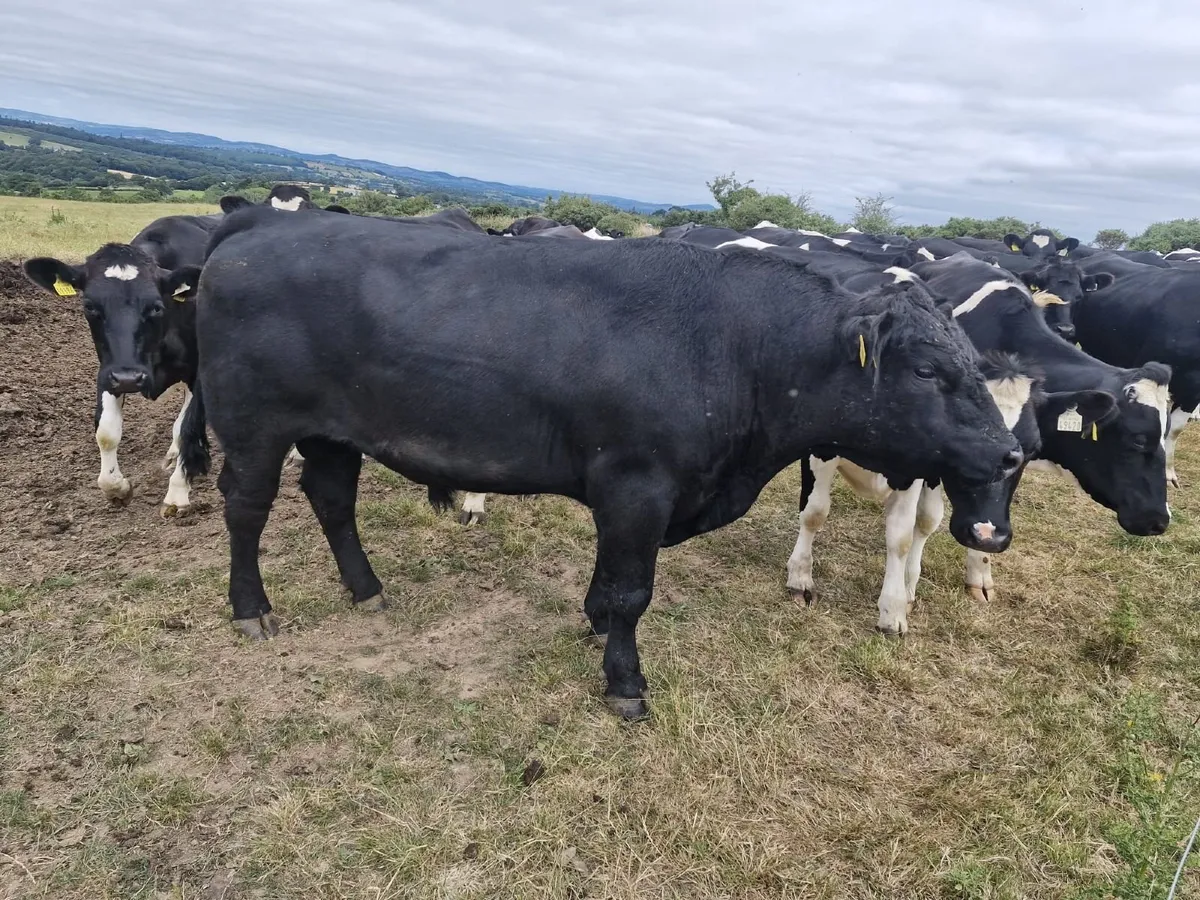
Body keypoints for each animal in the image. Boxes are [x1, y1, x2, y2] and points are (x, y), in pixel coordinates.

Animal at [174, 208, 1022, 719]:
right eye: (927, 371)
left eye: (970, 361)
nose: (1010, 450)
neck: (739, 343)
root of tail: (254, 225)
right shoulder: (637, 486)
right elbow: (630, 592)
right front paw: (625, 683)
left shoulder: (631, 496)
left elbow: (609, 582)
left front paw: (591, 624)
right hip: (256, 424)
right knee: (247, 506)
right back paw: (252, 608)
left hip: (332, 433)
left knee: (331, 497)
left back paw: (367, 589)